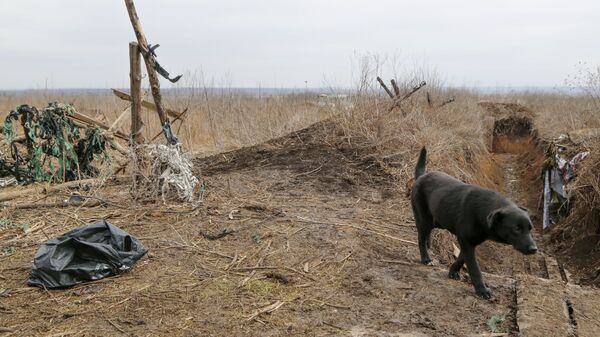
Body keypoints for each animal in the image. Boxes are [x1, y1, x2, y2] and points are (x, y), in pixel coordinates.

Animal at [410, 146, 536, 298]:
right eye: (516, 228)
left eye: (530, 229)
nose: (534, 249)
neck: (483, 213)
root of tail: (421, 177)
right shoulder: (466, 241)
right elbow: (474, 268)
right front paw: (482, 291)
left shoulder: (469, 242)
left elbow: (461, 259)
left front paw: (453, 272)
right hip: (424, 219)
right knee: (420, 238)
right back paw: (426, 258)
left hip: (437, 219)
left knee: (427, 234)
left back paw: (429, 246)